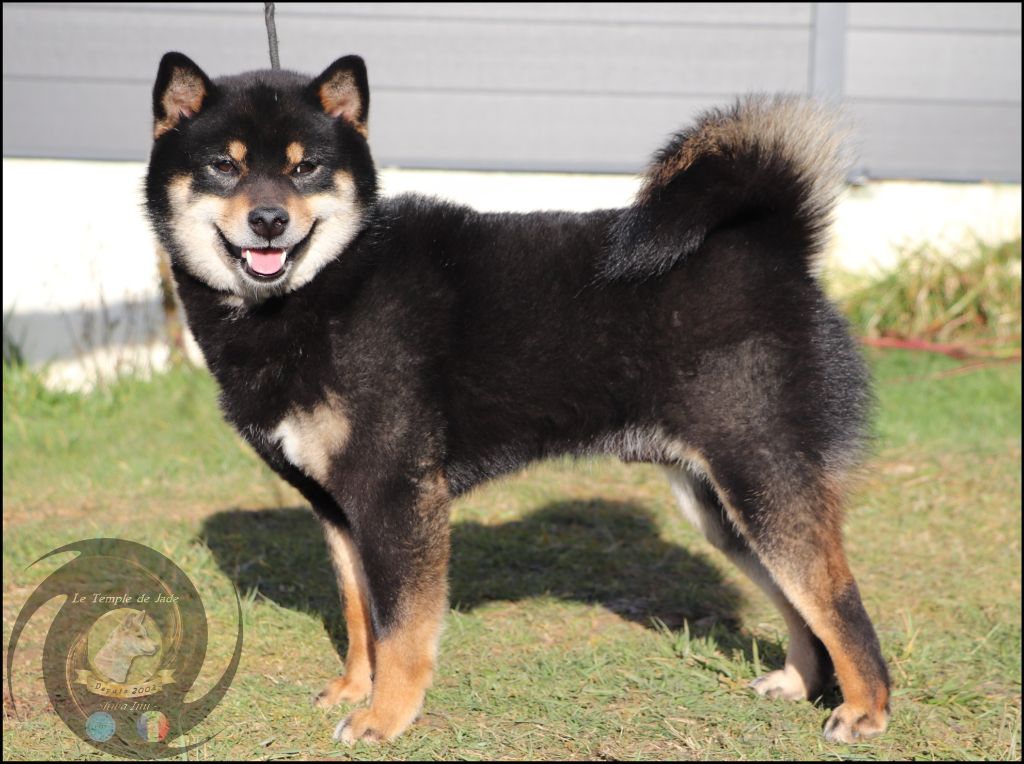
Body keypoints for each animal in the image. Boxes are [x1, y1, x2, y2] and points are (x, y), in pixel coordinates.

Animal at [145, 52, 890, 745]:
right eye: (223, 165)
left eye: (307, 170)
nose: (269, 221)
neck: (323, 289)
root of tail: (775, 245)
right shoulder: (338, 509)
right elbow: (360, 618)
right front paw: (355, 689)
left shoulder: (396, 495)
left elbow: (400, 629)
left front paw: (385, 717)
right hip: (721, 505)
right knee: (800, 603)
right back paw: (798, 681)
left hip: (764, 478)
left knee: (838, 601)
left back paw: (866, 710)